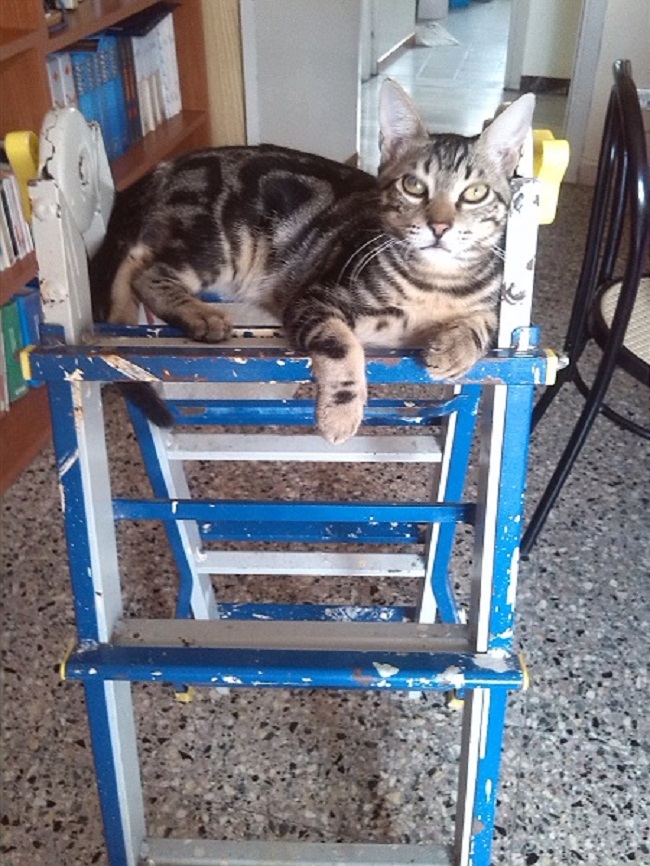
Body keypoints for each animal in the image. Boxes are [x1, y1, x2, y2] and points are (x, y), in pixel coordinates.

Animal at [90, 79, 535, 443]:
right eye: (413, 186)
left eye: (475, 192)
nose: (439, 226)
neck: (435, 283)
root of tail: (168, 165)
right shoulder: (314, 298)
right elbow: (341, 345)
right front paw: (341, 413)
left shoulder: (492, 305)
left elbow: (485, 323)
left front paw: (457, 347)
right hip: (222, 245)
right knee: (150, 273)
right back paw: (198, 315)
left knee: (134, 259)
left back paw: (121, 312)